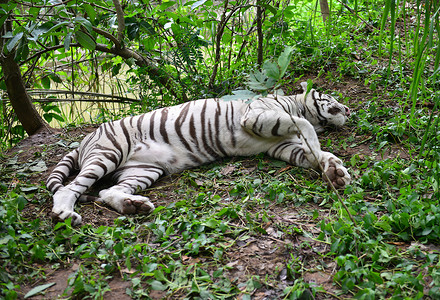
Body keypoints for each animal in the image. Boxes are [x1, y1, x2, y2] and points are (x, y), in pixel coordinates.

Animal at [47, 82, 350, 225]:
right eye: (331, 98)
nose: (348, 109)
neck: (295, 103)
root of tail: (85, 140)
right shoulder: (257, 117)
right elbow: (305, 127)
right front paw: (321, 151)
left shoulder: (279, 144)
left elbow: (309, 152)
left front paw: (335, 170)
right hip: (108, 154)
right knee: (70, 189)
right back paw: (65, 215)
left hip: (143, 170)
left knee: (106, 191)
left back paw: (134, 205)